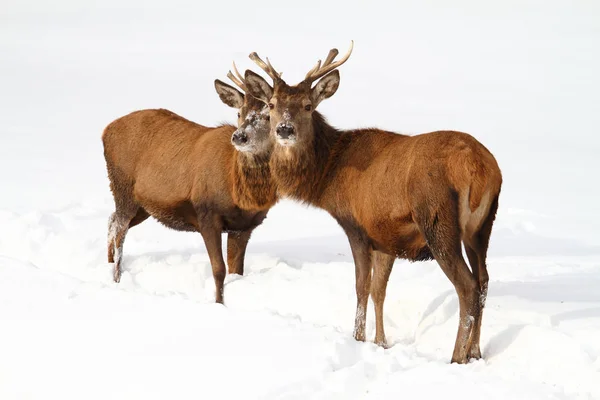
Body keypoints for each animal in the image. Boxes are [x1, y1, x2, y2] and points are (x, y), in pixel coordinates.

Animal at [102, 66, 276, 304]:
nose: (240, 137)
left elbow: (236, 270)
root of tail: (105, 130)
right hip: (123, 188)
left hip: (143, 205)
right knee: (119, 230)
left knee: (111, 221)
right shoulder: (207, 215)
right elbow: (219, 269)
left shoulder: (244, 227)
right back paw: (116, 277)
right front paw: (219, 304)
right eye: (239, 113)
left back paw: (109, 265)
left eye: (269, 116)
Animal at [243, 42, 502, 364]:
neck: (328, 177)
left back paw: (457, 356)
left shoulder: (355, 226)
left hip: (437, 220)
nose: (285, 129)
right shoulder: (385, 237)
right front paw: (381, 342)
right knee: (484, 281)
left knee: (467, 287)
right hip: (482, 227)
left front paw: (357, 338)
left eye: (307, 105)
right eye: (272, 105)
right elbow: (379, 290)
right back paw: (476, 351)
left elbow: (361, 287)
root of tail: (479, 168)